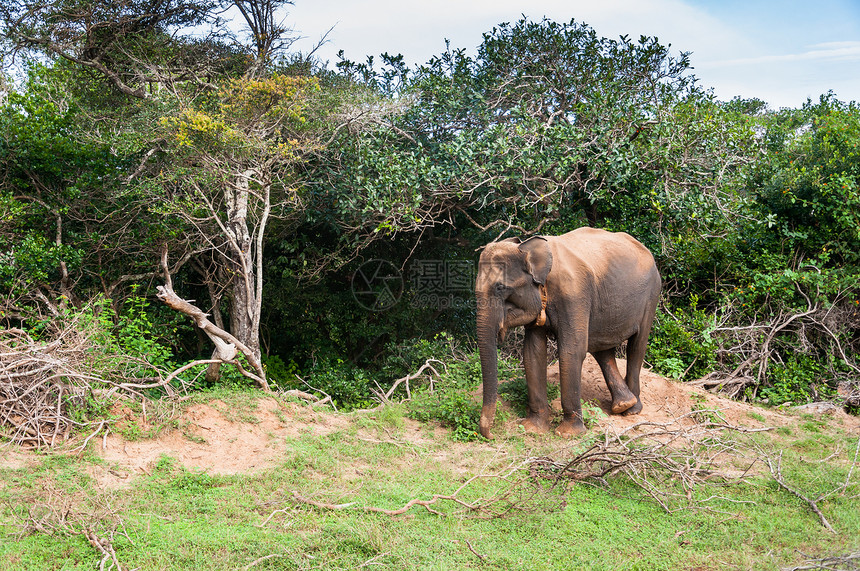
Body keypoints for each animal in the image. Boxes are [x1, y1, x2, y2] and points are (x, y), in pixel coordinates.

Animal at [474, 226, 660, 440]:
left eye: (500, 287)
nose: (492, 435)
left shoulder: (574, 294)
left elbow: (571, 351)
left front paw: (568, 433)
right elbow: (532, 353)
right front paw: (533, 429)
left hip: (651, 295)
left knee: (636, 346)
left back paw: (632, 410)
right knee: (601, 348)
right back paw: (623, 405)